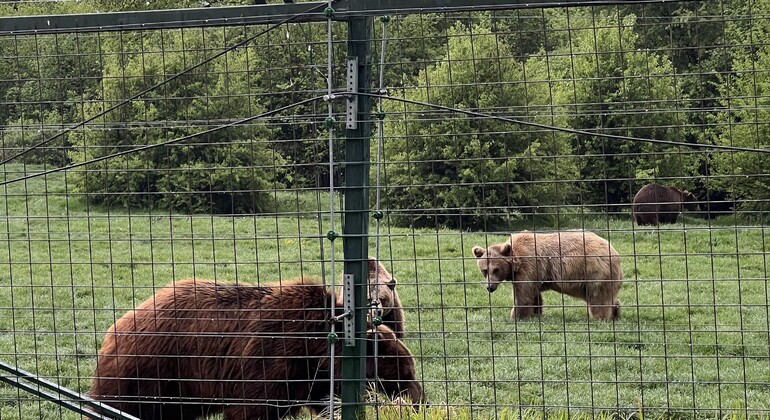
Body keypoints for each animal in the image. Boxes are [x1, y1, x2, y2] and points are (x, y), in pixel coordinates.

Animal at [88, 277, 425, 420]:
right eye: (403, 371)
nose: (419, 401)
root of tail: (116, 327)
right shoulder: (270, 358)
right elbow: (252, 409)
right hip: (151, 371)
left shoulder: (304, 379)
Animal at [472, 230, 623, 320]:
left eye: (496, 269)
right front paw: (535, 313)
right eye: (484, 270)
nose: (490, 287)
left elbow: (522, 296)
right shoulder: (533, 274)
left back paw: (599, 318)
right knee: (609, 296)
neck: (515, 264)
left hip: (594, 272)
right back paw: (615, 313)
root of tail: (614, 252)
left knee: (598, 299)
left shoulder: (528, 266)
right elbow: (534, 296)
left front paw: (515, 316)